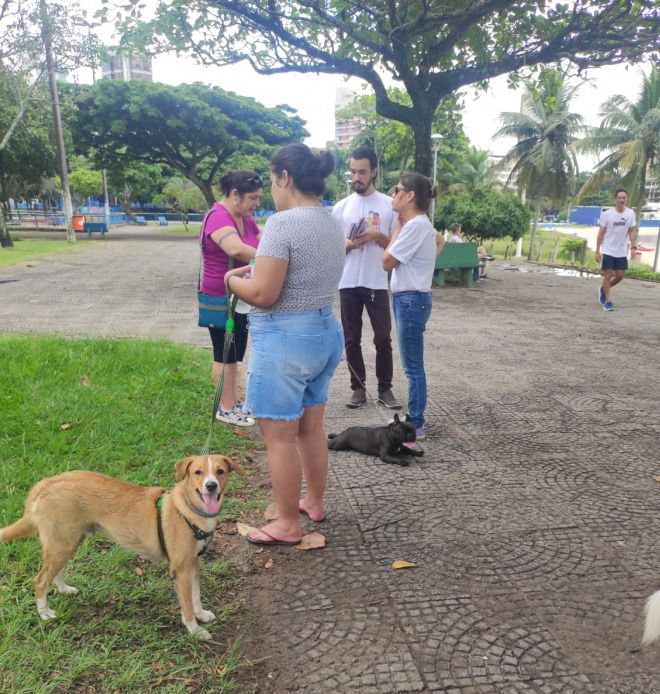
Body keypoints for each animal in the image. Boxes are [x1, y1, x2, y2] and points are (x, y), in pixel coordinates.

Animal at [0, 456, 245, 640]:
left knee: (54, 572)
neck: (188, 509)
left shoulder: (194, 563)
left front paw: (202, 614)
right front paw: (195, 630)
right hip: (62, 544)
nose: (211, 486)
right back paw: (45, 614)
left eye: (220, 471)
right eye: (197, 472)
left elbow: (196, 596)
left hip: (68, 542)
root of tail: (47, 482)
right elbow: (187, 606)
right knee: (40, 580)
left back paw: (64, 589)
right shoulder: (181, 570)